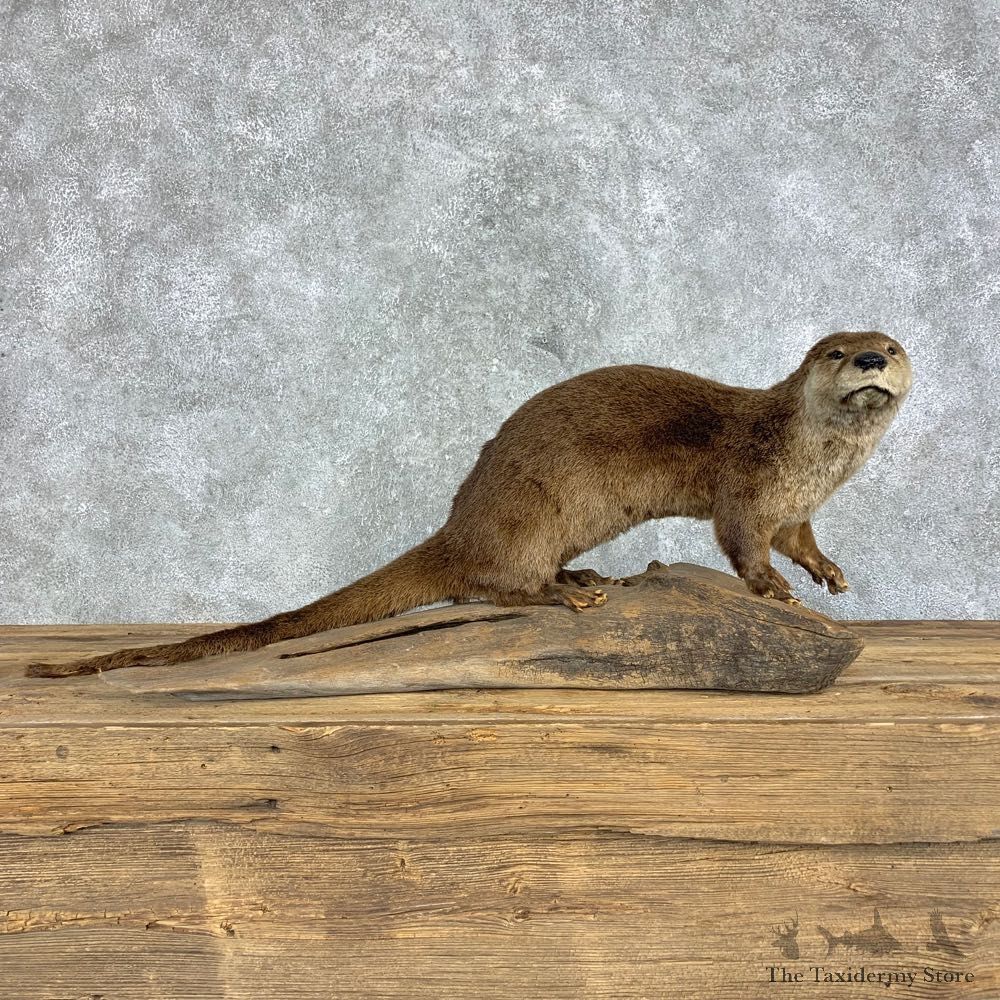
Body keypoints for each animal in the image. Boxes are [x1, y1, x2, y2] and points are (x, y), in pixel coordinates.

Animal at [27, 331, 912, 677]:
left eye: (891, 346)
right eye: (836, 352)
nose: (871, 360)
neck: (808, 458)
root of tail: (460, 524)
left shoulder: (795, 506)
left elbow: (800, 538)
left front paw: (830, 574)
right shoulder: (745, 486)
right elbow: (742, 543)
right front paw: (774, 591)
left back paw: (589, 577)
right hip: (529, 515)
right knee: (489, 586)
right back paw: (565, 593)